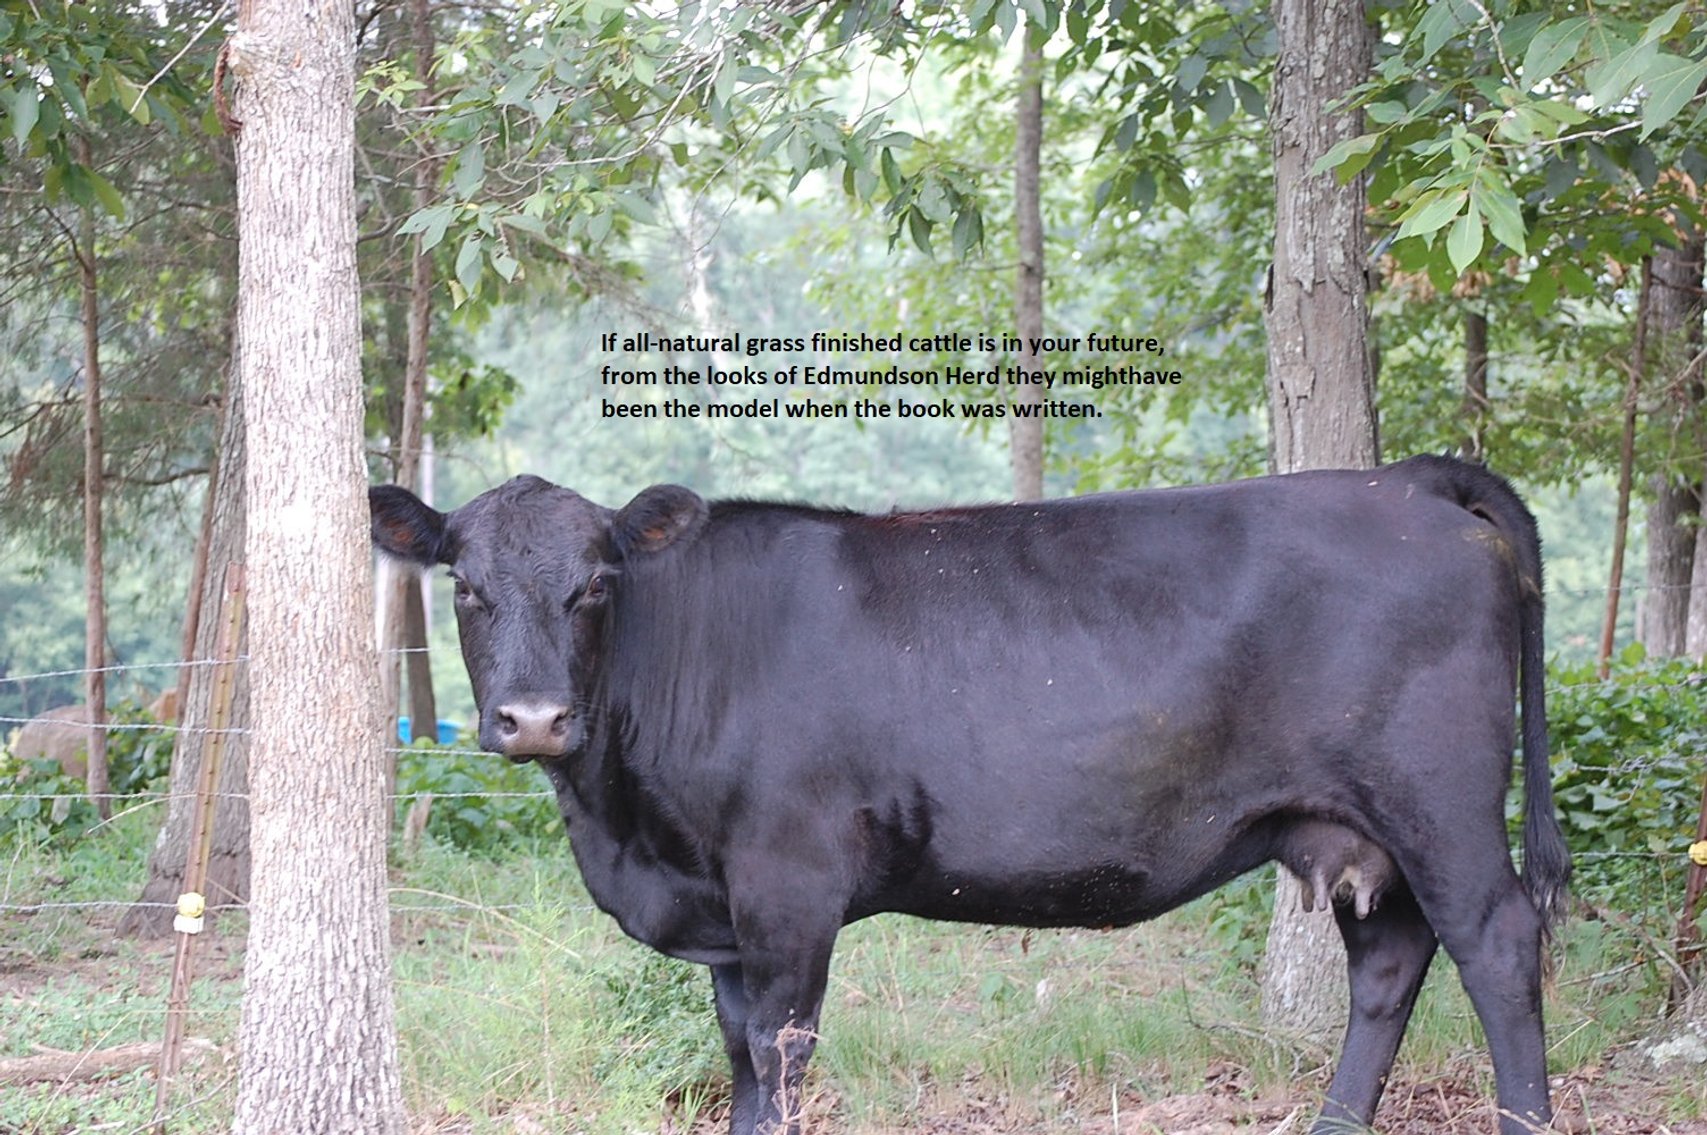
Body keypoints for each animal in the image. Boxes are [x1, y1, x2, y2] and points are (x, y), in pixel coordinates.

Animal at [369, 454, 1570, 1135]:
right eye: (465, 586)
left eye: (596, 584)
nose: (532, 718)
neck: (628, 833)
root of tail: (1404, 478)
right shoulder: (722, 911)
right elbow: (739, 1057)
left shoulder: (787, 884)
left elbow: (780, 1056)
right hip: (1356, 827)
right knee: (1389, 963)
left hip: (1439, 801)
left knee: (1496, 943)